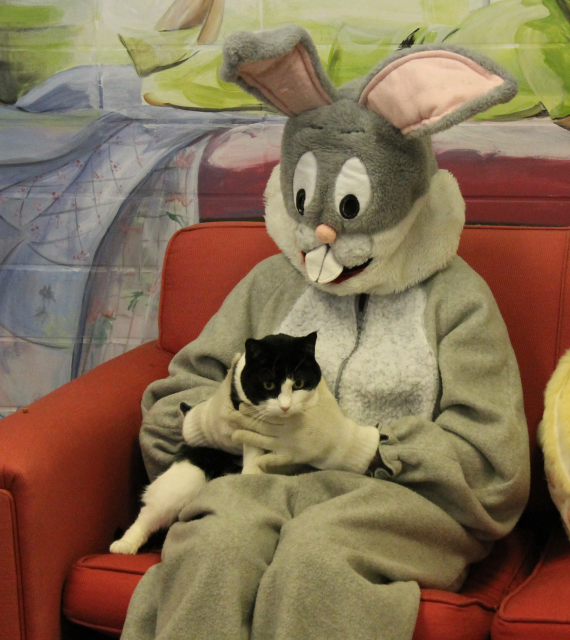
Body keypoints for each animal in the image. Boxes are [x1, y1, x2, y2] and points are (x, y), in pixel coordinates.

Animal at [110, 332, 320, 552]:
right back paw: (125, 544)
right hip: (183, 479)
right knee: (150, 512)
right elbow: (252, 446)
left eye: (299, 384)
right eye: (268, 385)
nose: (285, 407)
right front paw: (252, 472)